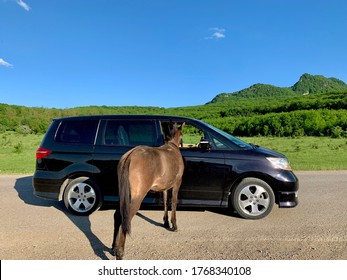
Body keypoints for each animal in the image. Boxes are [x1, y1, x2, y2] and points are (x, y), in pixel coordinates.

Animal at [113, 122, 186, 260]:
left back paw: (114, 247)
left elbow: (165, 202)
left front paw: (166, 222)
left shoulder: (164, 188)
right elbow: (173, 203)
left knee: (118, 215)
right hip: (137, 196)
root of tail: (130, 155)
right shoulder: (176, 184)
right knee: (126, 218)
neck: (172, 147)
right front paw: (174, 225)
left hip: (124, 195)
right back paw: (119, 252)